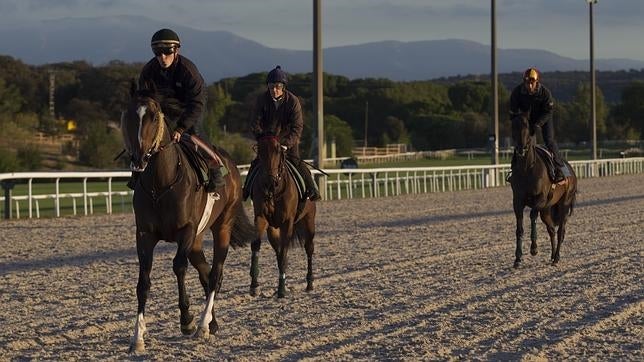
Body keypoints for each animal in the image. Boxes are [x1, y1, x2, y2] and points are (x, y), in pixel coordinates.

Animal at [121, 85, 254, 354]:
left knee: (215, 274)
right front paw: (137, 337)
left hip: (221, 227)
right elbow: (143, 281)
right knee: (205, 272)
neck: (160, 183)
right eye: (129, 114)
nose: (139, 159)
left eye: (153, 116)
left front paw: (186, 320)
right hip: (197, 241)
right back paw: (212, 322)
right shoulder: (145, 234)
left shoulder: (186, 230)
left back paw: (202, 325)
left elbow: (178, 267)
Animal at [248, 134, 316, 298]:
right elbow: (256, 245)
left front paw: (282, 289)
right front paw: (254, 285)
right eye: (260, 152)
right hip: (273, 230)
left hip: (309, 222)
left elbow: (284, 250)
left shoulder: (287, 222)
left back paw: (309, 283)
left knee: (309, 248)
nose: (270, 181)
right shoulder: (261, 218)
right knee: (278, 251)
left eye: (278, 151)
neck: (275, 191)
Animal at [508, 114, 580, 268]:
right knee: (551, 229)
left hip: (564, 204)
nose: (521, 148)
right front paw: (518, 258)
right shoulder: (517, 201)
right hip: (547, 210)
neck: (527, 169)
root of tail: (571, 171)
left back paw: (557, 257)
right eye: (513, 126)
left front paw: (534, 248)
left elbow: (532, 215)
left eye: (527, 126)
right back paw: (552, 256)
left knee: (560, 231)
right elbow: (519, 228)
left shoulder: (540, 199)